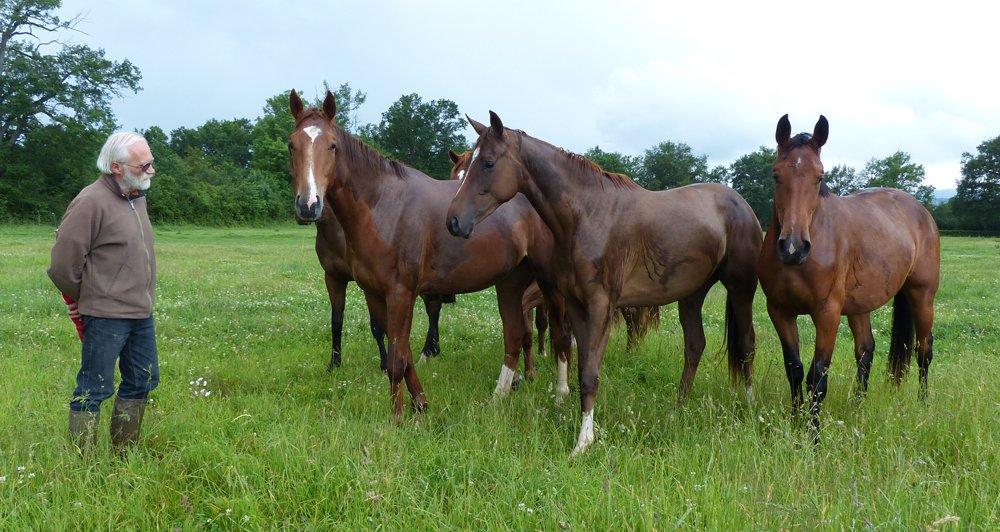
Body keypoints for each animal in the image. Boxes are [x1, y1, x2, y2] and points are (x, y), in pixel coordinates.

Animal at [311, 204, 449, 372]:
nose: (308, 210)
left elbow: (377, 326)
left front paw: (384, 364)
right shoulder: (333, 278)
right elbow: (336, 322)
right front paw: (335, 363)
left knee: (433, 311)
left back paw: (427, 353)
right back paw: (433, 350)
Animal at [446, 112, 761, 456]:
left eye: (488, 162)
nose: (453, 221)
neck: (588, 215)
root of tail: (741, 203)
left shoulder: (601, 306)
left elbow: (589, 373)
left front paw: (583, 442)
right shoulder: (575, 304)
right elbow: (579, 360)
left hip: (741, 290)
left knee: (746, 345)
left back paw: (748, 406)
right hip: (692, 294)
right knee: (694, 346)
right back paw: (678, 408)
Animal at [759, 114, 940, 436]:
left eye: (819, 177)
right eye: (776, 174)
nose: (793, 247)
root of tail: (922, 212)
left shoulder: (827, 313)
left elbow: (817, 378)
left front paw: (813, 437)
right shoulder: (779, 311)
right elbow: (794, 369)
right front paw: (795, 421)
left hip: (923, 296)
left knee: (924, 350)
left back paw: (923, 405)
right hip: (859, 305)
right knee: (866, 351)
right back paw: (858, 408)